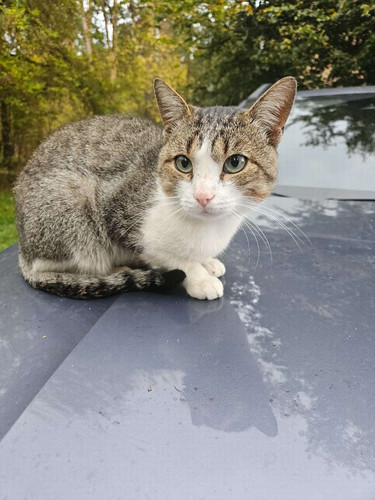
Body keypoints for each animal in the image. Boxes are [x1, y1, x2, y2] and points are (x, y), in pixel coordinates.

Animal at [13, 76, 296, 298]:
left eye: (235, 162)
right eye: (183, 163)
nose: (203, 196)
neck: (206, 229)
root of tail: (22, 248)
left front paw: (207, 262)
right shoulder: (120, 216)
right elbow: (169, 256)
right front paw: (200, 277)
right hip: (70, 202)